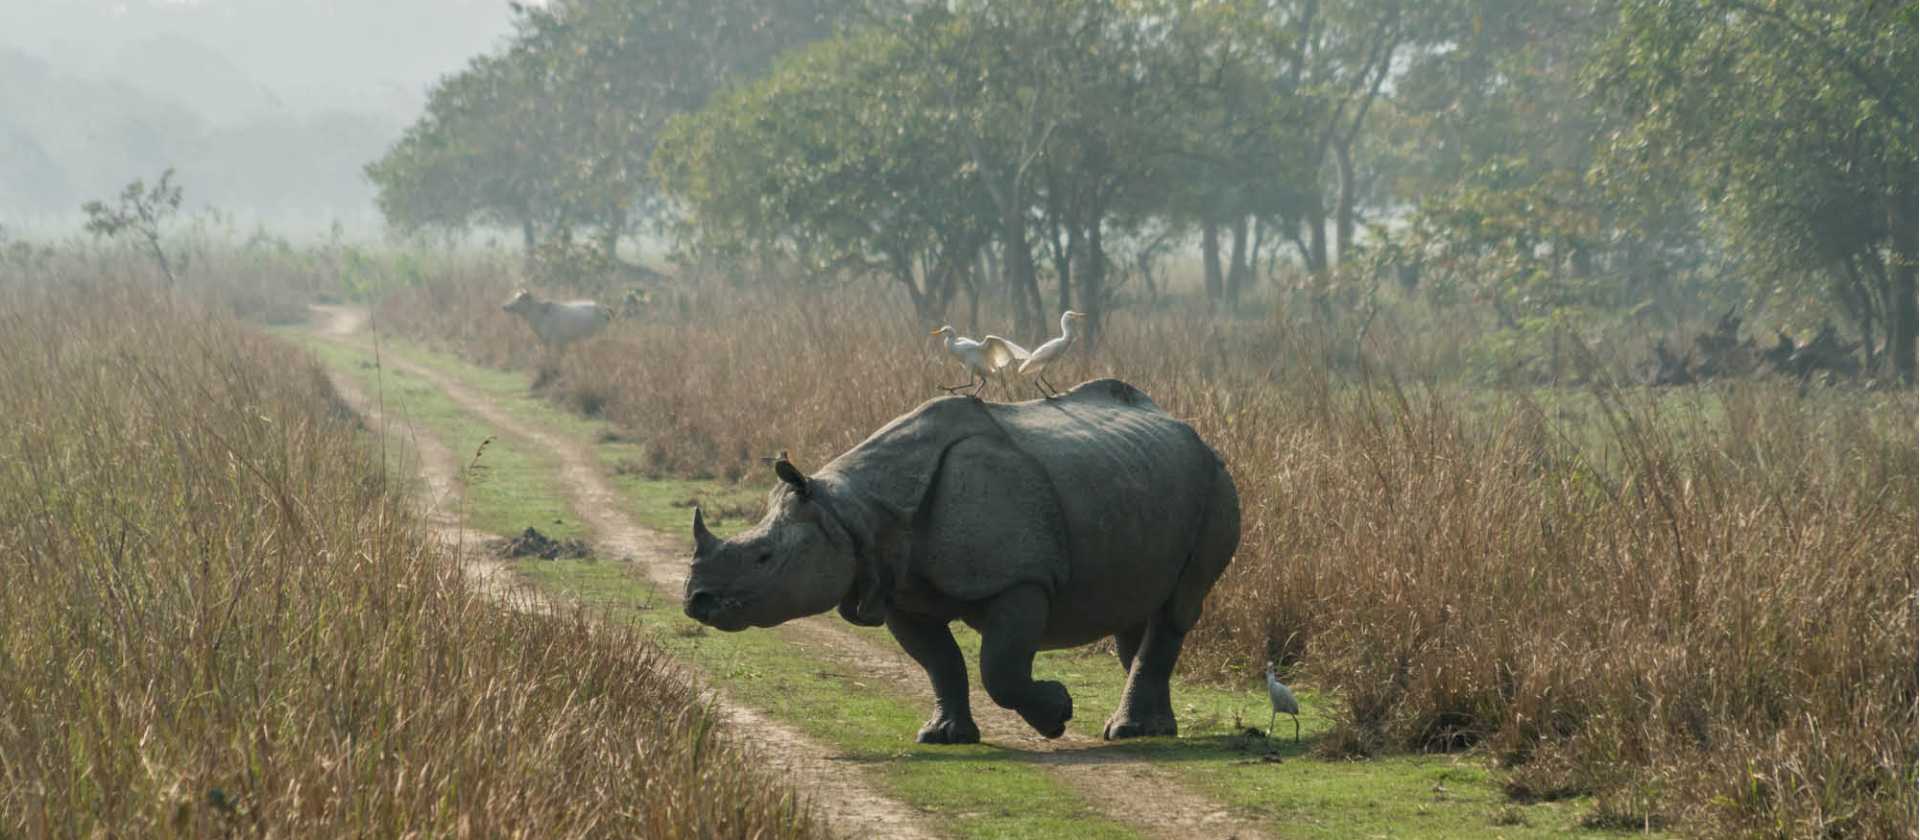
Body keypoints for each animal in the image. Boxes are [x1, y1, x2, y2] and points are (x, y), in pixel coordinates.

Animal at [683, 379, 1239, 742]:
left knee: (1177, 606)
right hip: (1142, 479)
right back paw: (1151, 729)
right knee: (1141, 610)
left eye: (764, 557)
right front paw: (944, 735)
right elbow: (940, 662)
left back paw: (1129, 731)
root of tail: (1190, 429)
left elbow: (1000, 668)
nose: (696, 601)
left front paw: (1056, 714)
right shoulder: (900, 590)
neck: (851, 512)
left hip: (1216, 478)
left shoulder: (1021, 579)